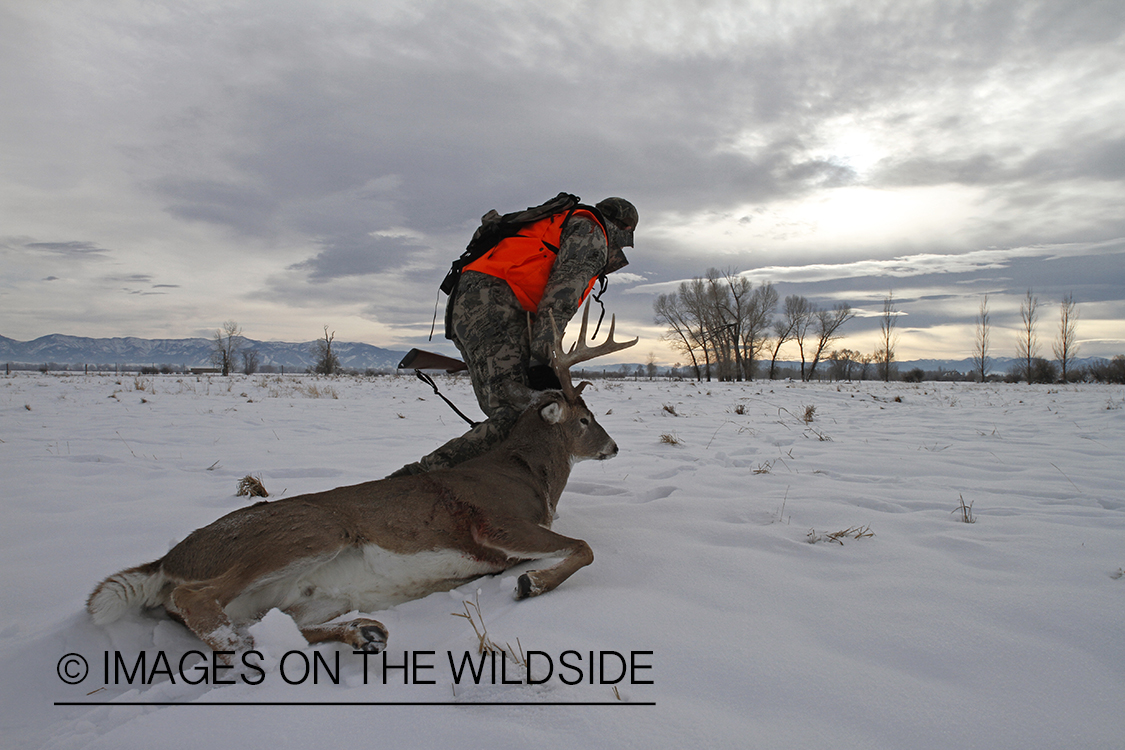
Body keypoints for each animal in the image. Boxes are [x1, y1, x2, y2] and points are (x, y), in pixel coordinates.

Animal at [87, 303, 637, 657]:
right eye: (584, 419)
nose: (613, 446)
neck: (532, 476)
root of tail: (168, 561)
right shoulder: (496, 521)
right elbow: (584, 546)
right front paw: (530, 583)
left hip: (306, 597)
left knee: (280, 625)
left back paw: (365, 633)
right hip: (304, 532)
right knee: (196, 599)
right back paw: (242, 644)